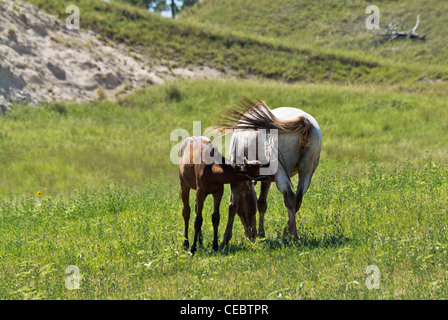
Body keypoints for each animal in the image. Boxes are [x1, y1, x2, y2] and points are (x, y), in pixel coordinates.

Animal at [219, 99, 320, 244]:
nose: (251, 235)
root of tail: (304, 120)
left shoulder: (238, 179)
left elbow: (233, 205)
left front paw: (225, 240)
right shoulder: (266, 179)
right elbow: (262, 203)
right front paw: (261, 233)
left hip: (281, 172)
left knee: (289, 197)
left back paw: (292, 235)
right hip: (306, 172)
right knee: (298, 199)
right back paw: (287, 232)